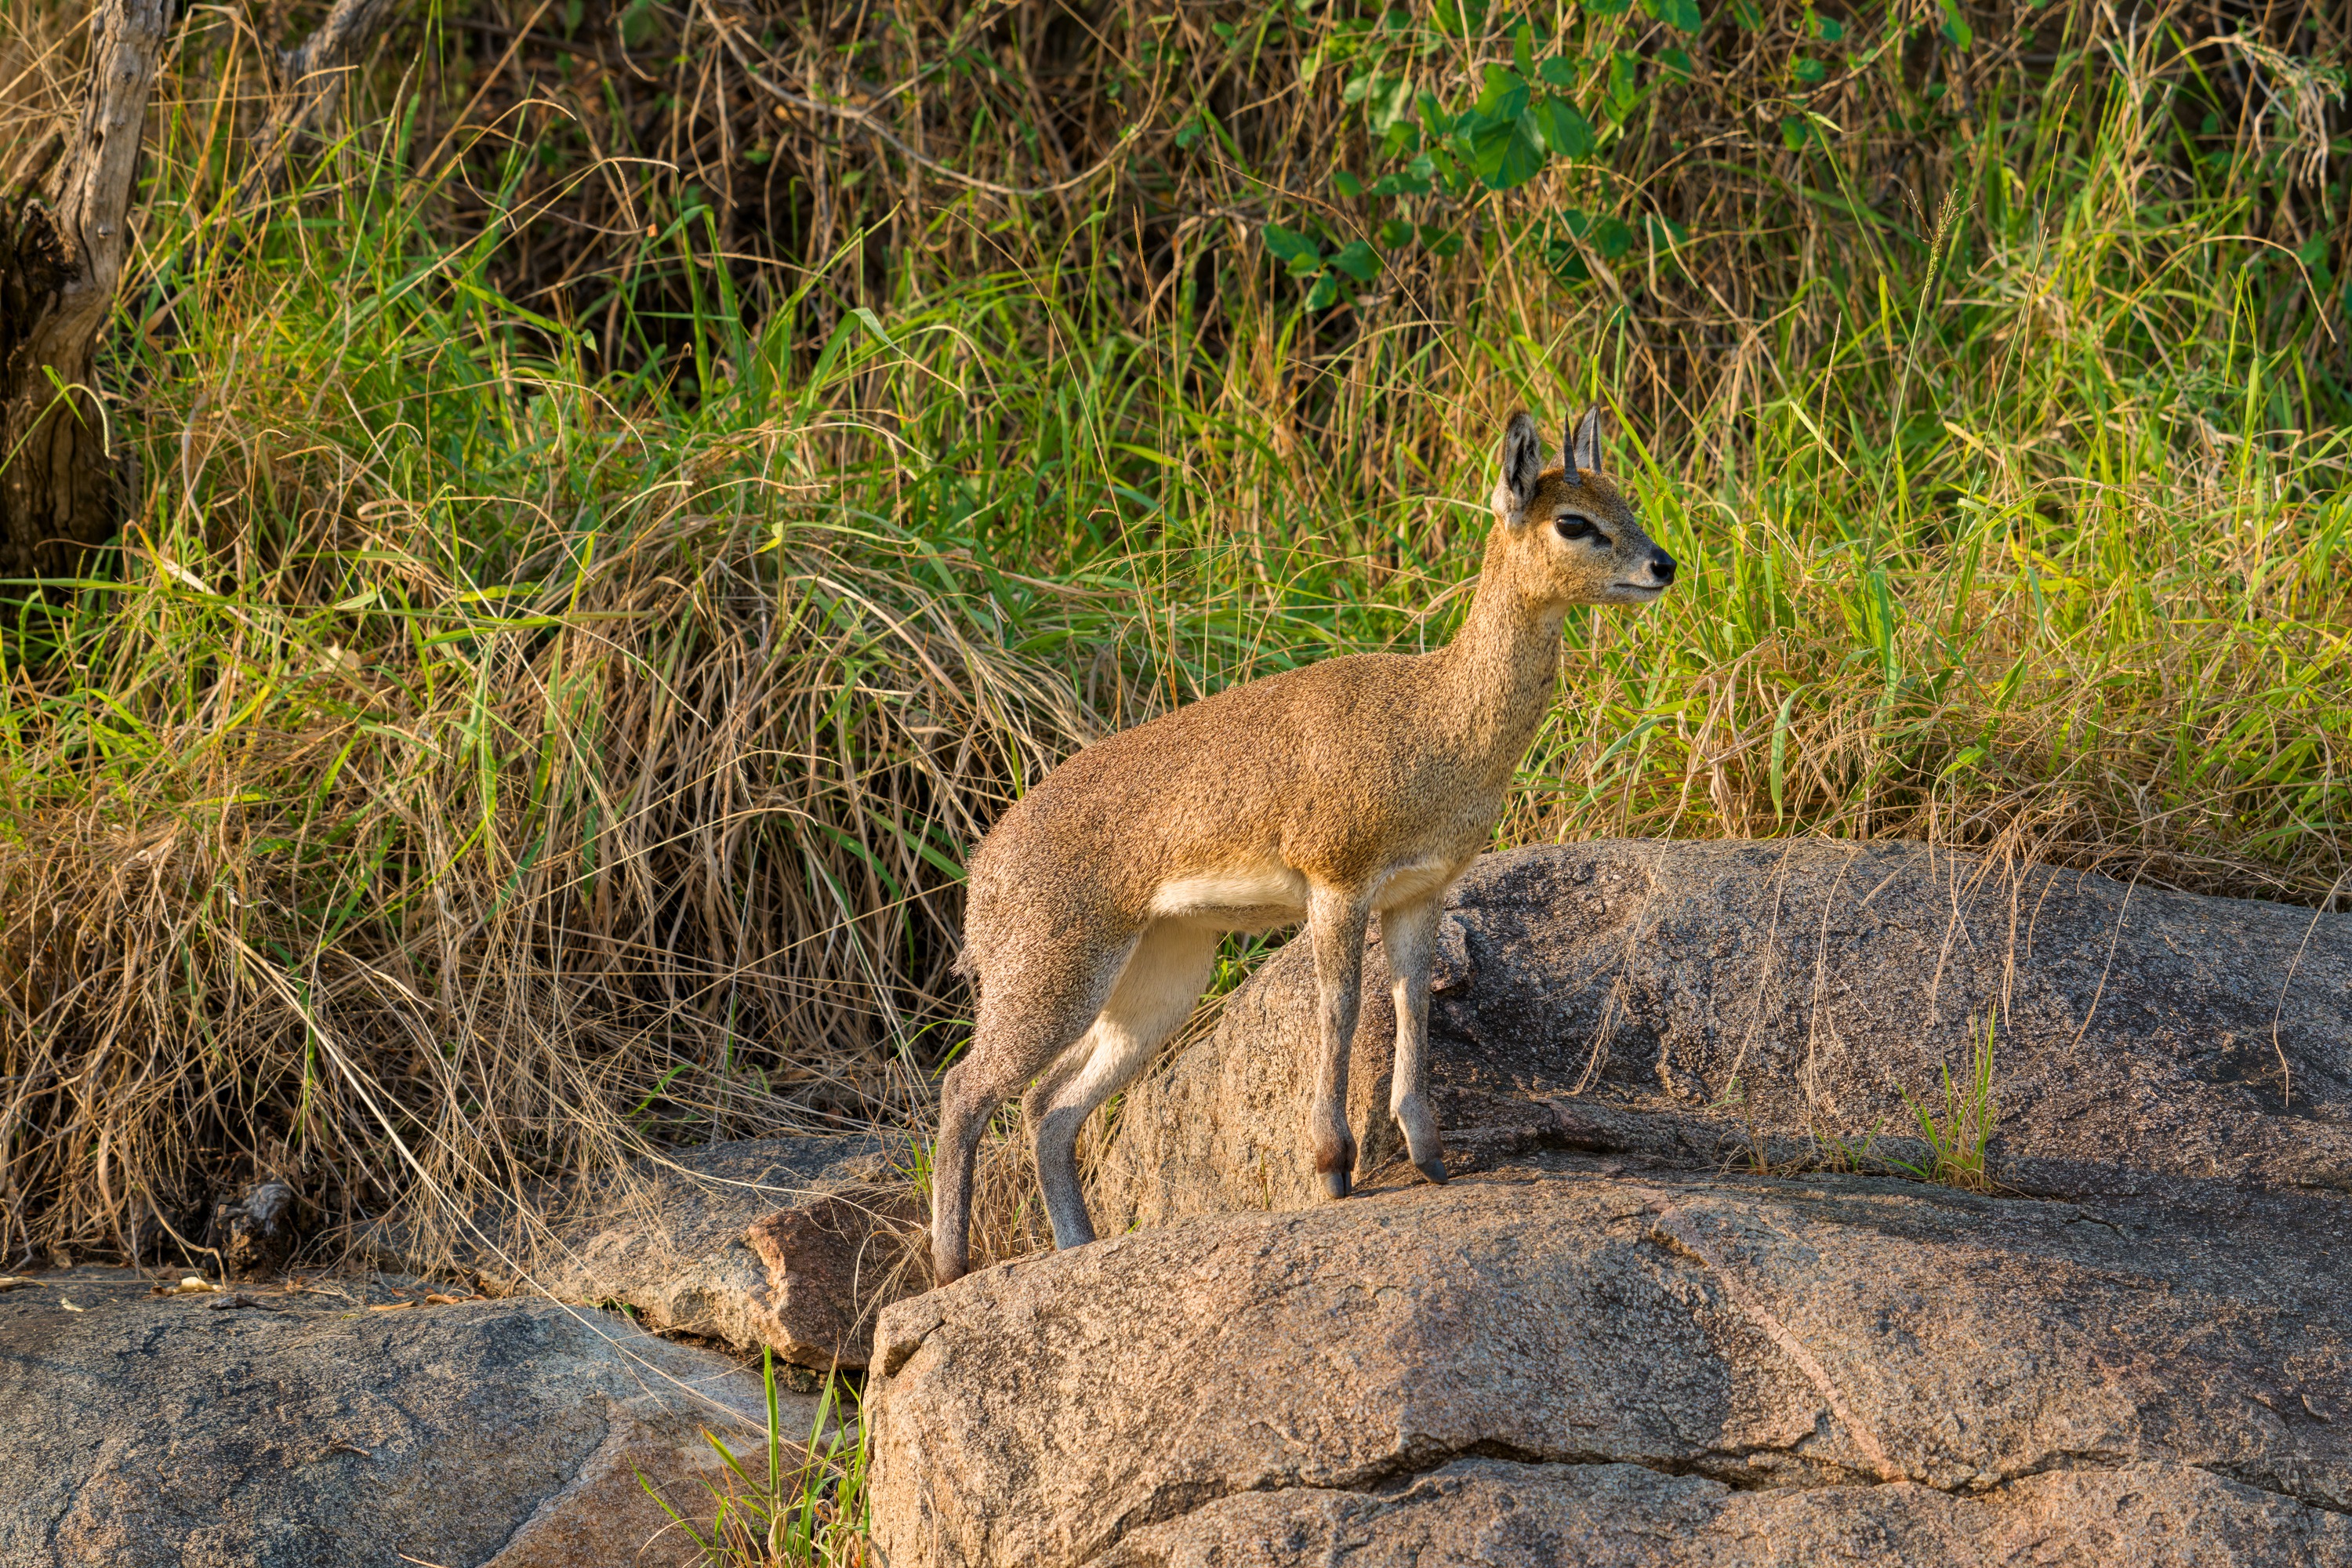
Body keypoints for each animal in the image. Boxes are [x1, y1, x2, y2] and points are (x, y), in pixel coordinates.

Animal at [932, 407, 1677, 1286]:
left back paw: (1076, 1248)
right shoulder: (1337, 881)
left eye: (1621, 495)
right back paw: (950, 1268)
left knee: (1047, 1104)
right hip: (1050, 975)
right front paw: (1331, 1167)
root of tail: (982, 871)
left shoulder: (1421, 891)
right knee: (965, 1088)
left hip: (1157, 980)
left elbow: (1412, 1001)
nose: (1663, 565)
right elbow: (1340, 1006)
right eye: (1572, 520)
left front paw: (1428, 1154)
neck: (1436, 720)